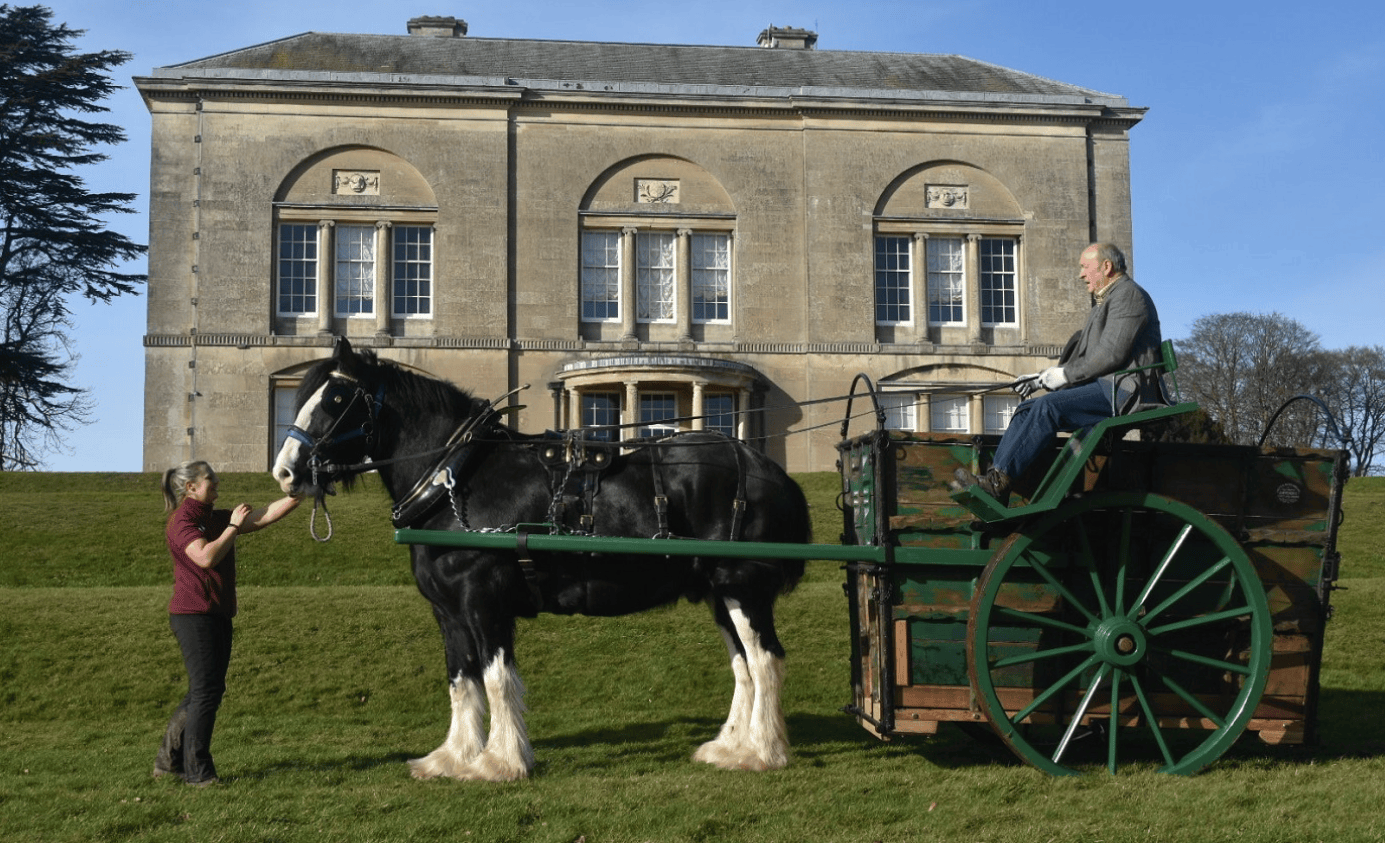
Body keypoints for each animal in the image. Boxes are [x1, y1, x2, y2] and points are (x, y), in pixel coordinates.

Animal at [271, 340, 808, 780]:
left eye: (336, 399)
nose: (285, 472)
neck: (457, 478)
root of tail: (766, 468)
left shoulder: (484, 601)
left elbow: (495, 678)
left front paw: (500, 762)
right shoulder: (449, 611)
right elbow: (461, 681)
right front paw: (452, 757)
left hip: (744, 588)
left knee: (765, 661)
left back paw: (763, 751)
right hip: (720, 595)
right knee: (743, 665)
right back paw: (732, 747)